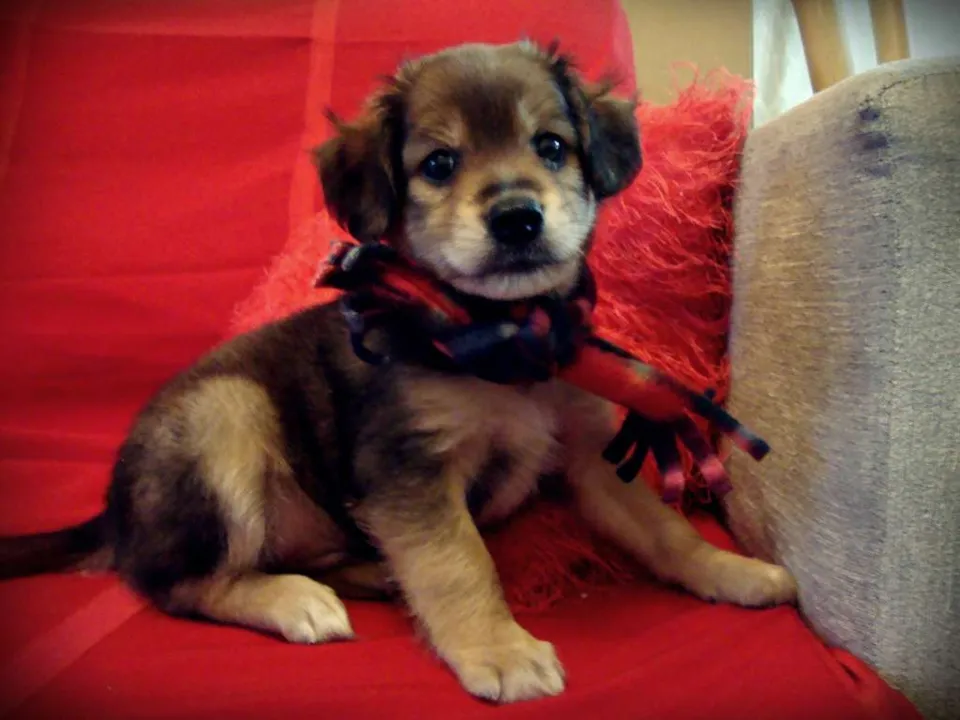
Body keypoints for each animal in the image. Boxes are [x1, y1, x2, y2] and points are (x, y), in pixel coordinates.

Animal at [0, 41, 796, 704]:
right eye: (438, 163)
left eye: (552, 146)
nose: (518, 217)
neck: (504, 337)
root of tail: (115, 515)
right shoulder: (411, 468)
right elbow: (458, 563)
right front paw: (500, 650)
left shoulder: (591, 453)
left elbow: (667, 532)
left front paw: (733, 572)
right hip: (226, 414)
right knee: (176, 582)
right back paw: (294, 601)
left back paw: (371, 574)